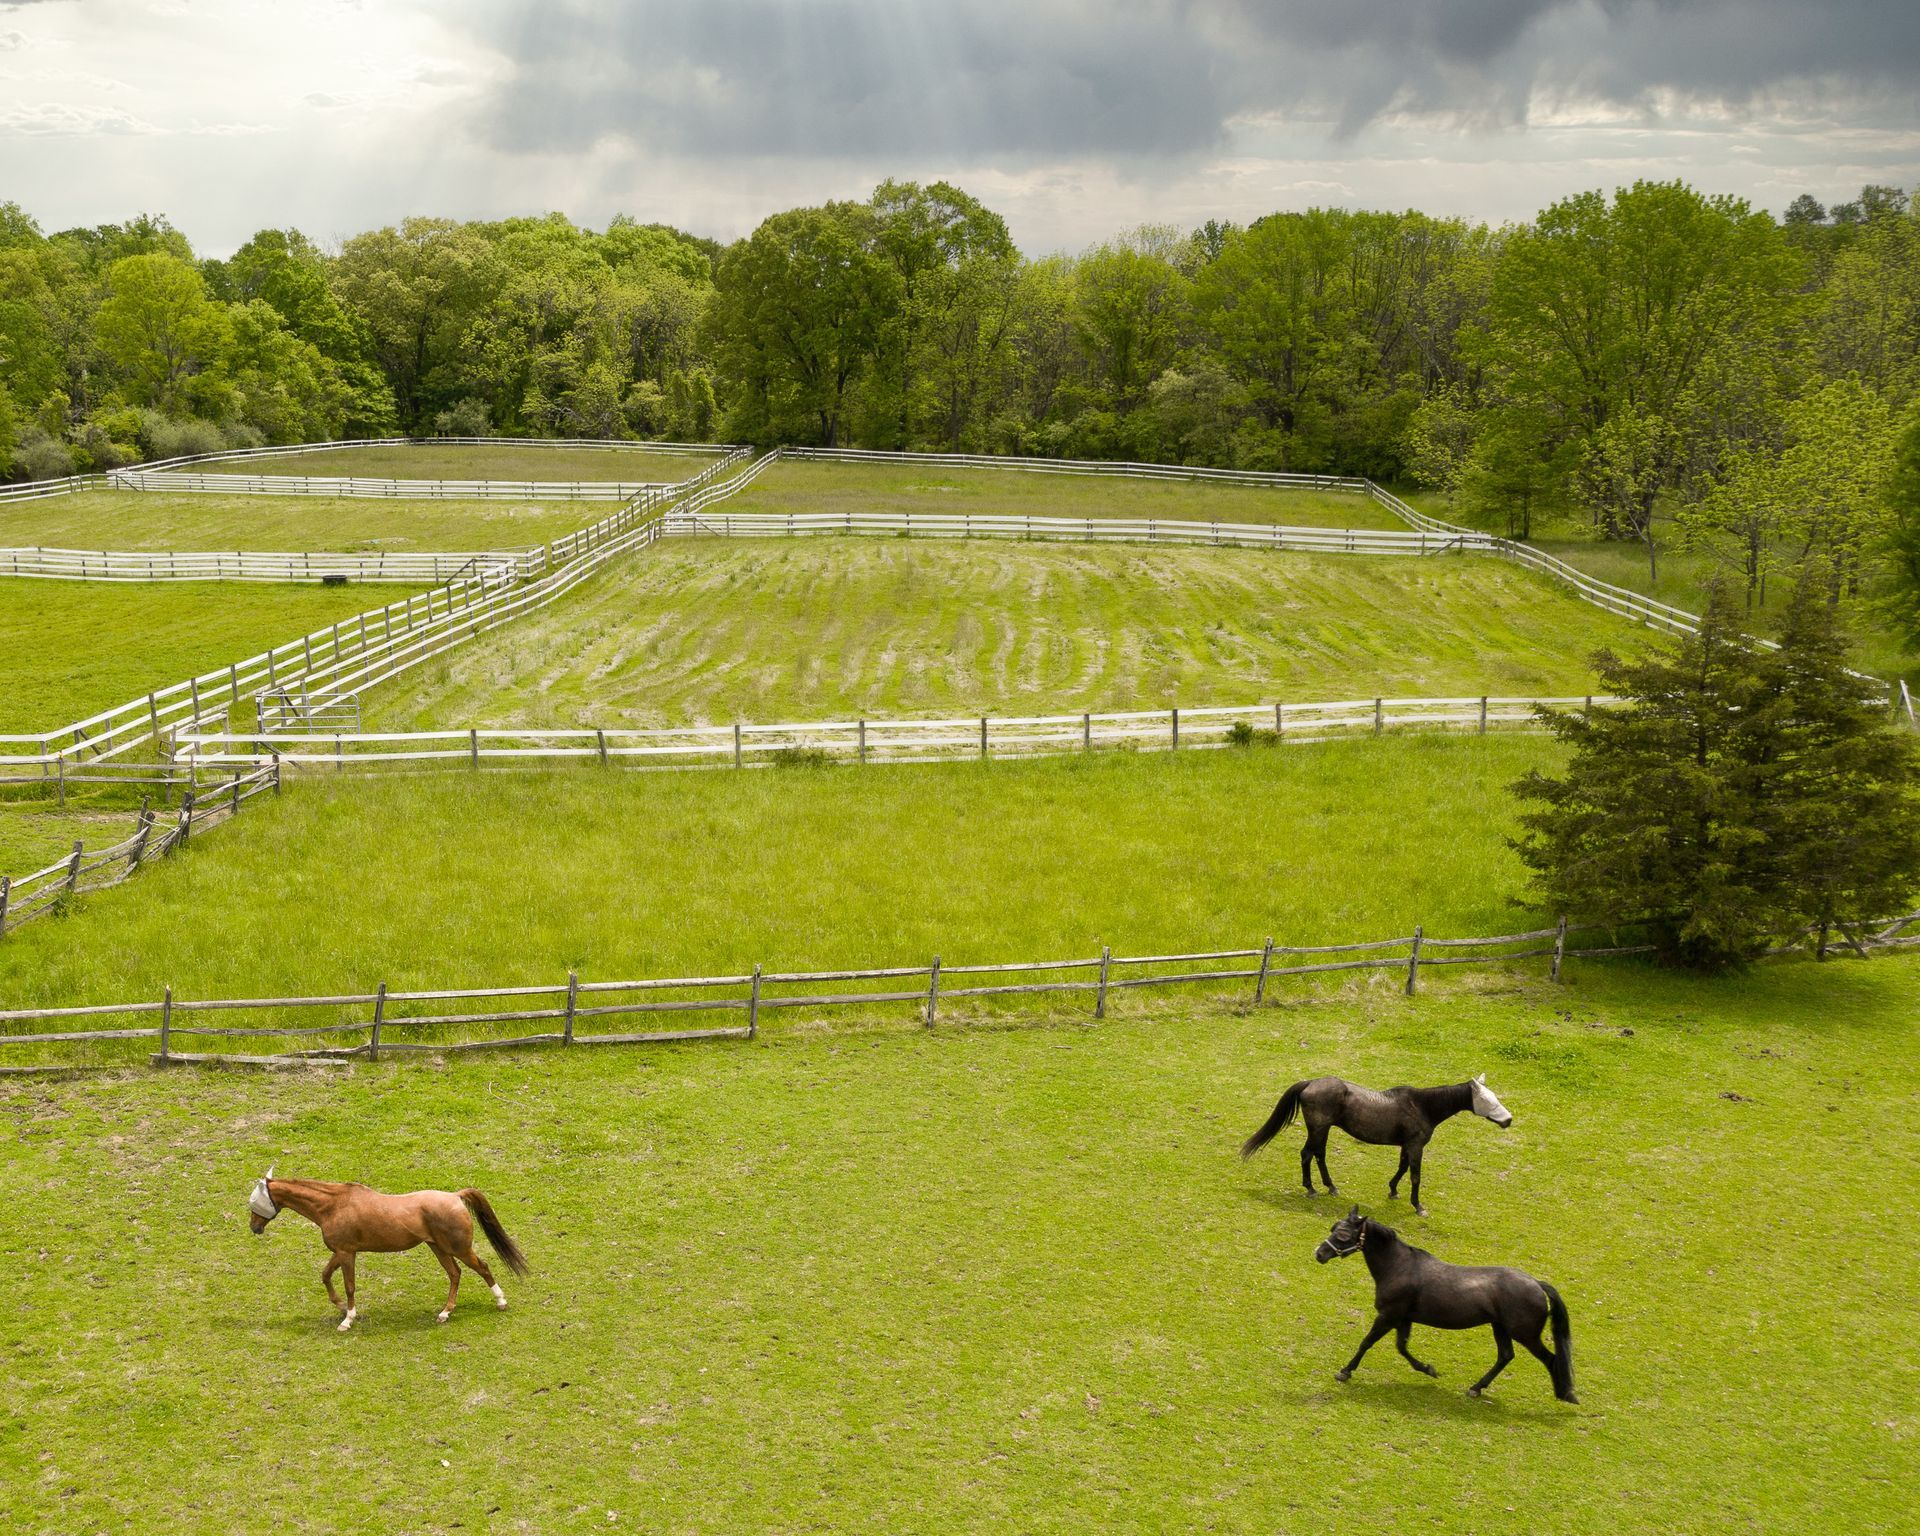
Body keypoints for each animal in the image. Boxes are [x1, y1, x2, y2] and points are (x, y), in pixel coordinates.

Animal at [247, 1167, 530, 1331]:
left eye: (255, 1200)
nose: (254, 1227)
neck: (333, 1206)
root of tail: (455, 1196)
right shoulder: (340, 1252)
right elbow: (325, 1276)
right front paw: (341, 1308)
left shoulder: (347, 1253)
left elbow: (349, 1285)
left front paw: (348, 1319)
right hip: (438, 1248)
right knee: (455, 1274)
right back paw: (445, 1313)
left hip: (458, 1248)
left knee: (482, 1267)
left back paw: (501, 1301)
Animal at [1241, 1073, 1512, 1215]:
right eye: (1488, 1100)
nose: (1508, 1120)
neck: (1422, 1107)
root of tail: (1310, 1083)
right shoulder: (1416, 1146)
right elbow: (1415, 1175)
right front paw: (1418, 1205)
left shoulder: (1406, 1146)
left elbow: (1402, 1168)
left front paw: (1392, 1190)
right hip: (1319, 1129)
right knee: (1309, 1154)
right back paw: (1311, 1189)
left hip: (1321, 1130)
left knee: (1318, 1155)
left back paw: (1330, 1187)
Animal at [1314, 1207, 1576, 1402]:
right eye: (1333, 1228)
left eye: (1344, 1235)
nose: (1319, 1254)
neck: (1399, 1266)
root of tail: (1536, 1283)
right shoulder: (1403, 1319)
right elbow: (1402, 1347)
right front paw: (1428, 1369)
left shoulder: (1388, 1316)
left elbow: (1367, 1342)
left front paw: (1345, 1372)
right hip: (1500, 1328)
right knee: (1505, 1356)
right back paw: (1476, 1388)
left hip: (1525, 1335)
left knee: (1550, 1359)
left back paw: (1565, 1394)